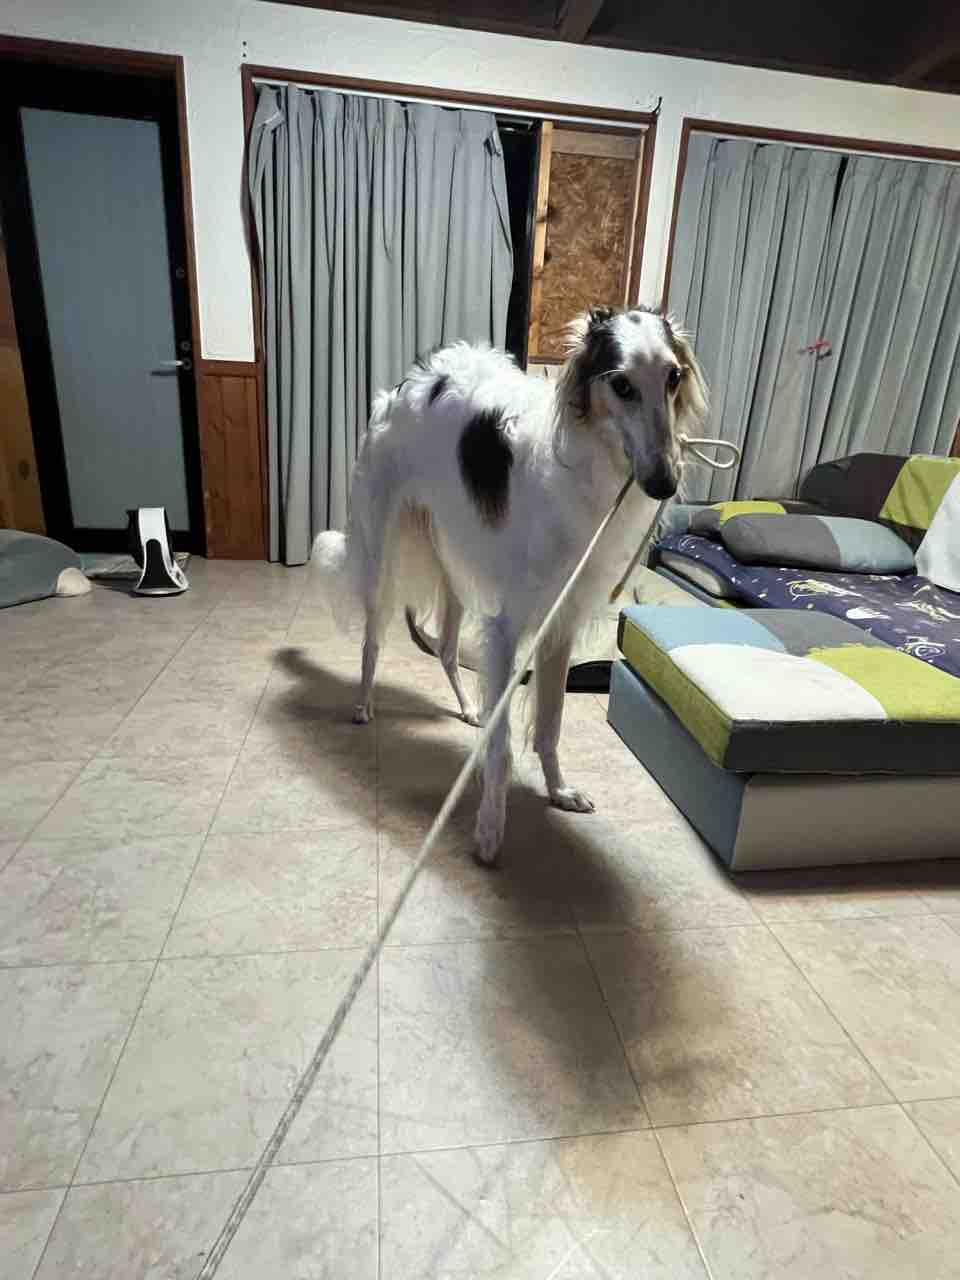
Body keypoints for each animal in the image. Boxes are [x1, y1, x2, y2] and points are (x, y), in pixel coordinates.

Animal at [313, 305, 708, 865]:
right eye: (621, 384)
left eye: (673, 377)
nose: (663, 483)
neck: (586, 466)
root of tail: (404, 387)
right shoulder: (507, 626)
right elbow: (502, 749)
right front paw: (489, 830)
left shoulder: (558, 626)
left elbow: (550, 725)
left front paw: (559, 791)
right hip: (380, 554)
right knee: (373, 642)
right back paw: (364, 706)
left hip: (456, 561)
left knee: (448, 649)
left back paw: (466, 707)